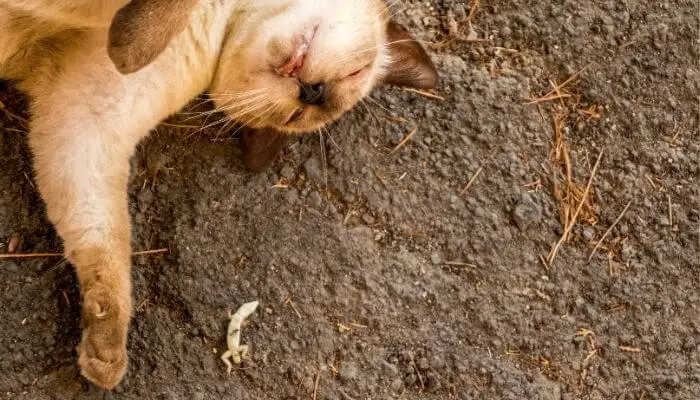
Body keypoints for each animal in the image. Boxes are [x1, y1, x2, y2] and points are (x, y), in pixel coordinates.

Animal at [0, 0, 438, 390]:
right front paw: (132, 42)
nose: (313, 93)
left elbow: (103, 246)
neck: (221, 21)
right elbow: (160, 19)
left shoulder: (87, 117)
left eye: (294, 117)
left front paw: (104, 359)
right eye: (355, 72)